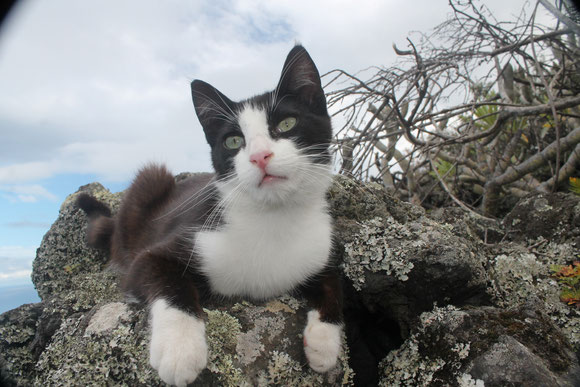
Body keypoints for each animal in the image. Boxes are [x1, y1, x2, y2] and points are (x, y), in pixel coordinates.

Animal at [76, 44, 340, 386]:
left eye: (286, 124)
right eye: (233, 141)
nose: (260, 156)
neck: (273, 216)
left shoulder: (320, 247)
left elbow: (336, 284)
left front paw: (323, 345)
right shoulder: (179, 240)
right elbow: (164, 277)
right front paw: (180, 350)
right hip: (149, 183)